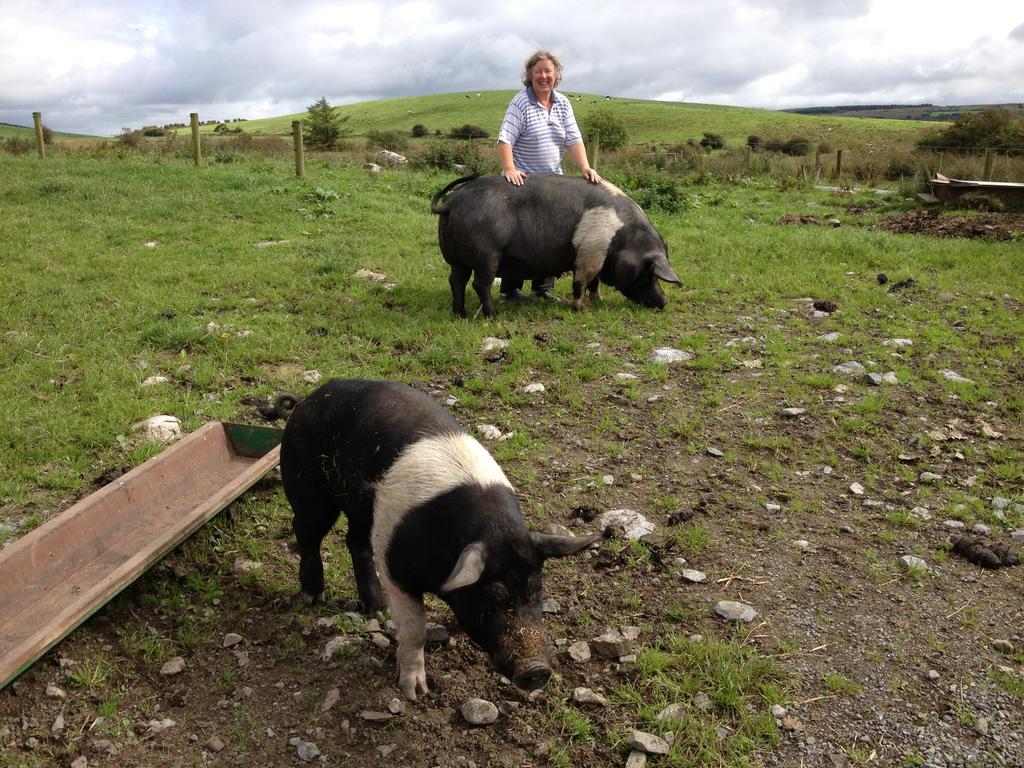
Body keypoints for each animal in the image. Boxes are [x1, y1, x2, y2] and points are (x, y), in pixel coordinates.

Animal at [280, 382, 598, 700]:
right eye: (493, 596)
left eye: (537, 590)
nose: (537, 669)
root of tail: (309, 399)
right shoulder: (397, 571)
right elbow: (414, 628)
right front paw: (415, 692)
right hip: (307, 486)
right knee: (306, 535)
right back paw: (312, 598)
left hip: (363, 508)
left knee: (355, 542)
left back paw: (377, 607)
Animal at [430, 173, 679, 317]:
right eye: (651, 273)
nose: (664, 301)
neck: (623, 238)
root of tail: (451, 202)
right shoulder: (590, 251)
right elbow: (582, 281)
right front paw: (580, 308)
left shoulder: (595, 254)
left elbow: (595, 282)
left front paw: (598, 300)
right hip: (488, 254)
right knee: (480, 284)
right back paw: (494, 315)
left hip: (455, 258)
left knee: (456, 280)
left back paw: (460, 313)